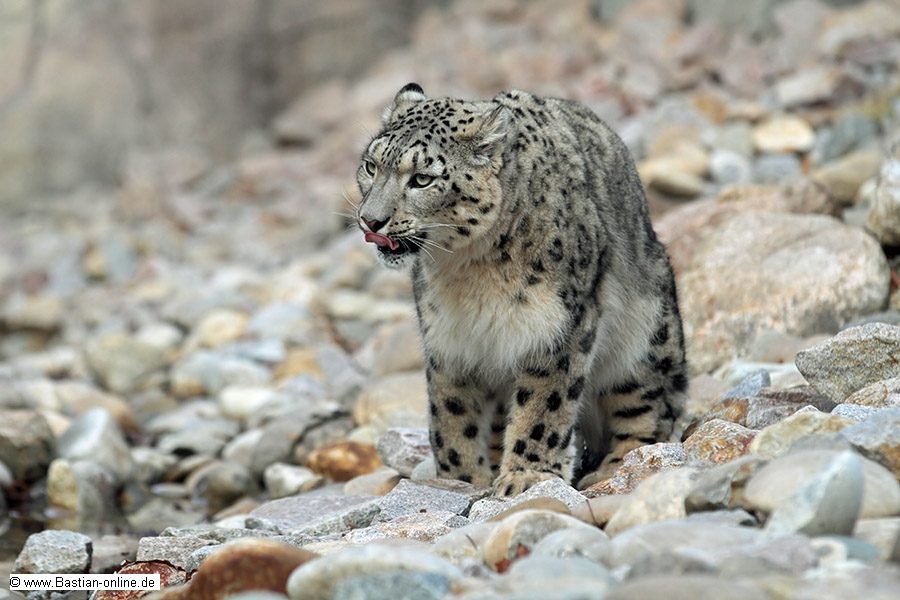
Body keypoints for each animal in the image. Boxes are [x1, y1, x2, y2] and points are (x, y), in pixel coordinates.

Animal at [355, 83, 688, 496]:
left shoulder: (556, 328)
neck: (467, 271)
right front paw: (462, 479)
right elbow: (451, 414)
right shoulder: (448, 341)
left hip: (644, 341)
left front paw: (526, 477)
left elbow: (543, 404)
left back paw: (618, 468)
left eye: (422, 179)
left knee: (651, 411)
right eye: (371, 166)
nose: (370, 220)